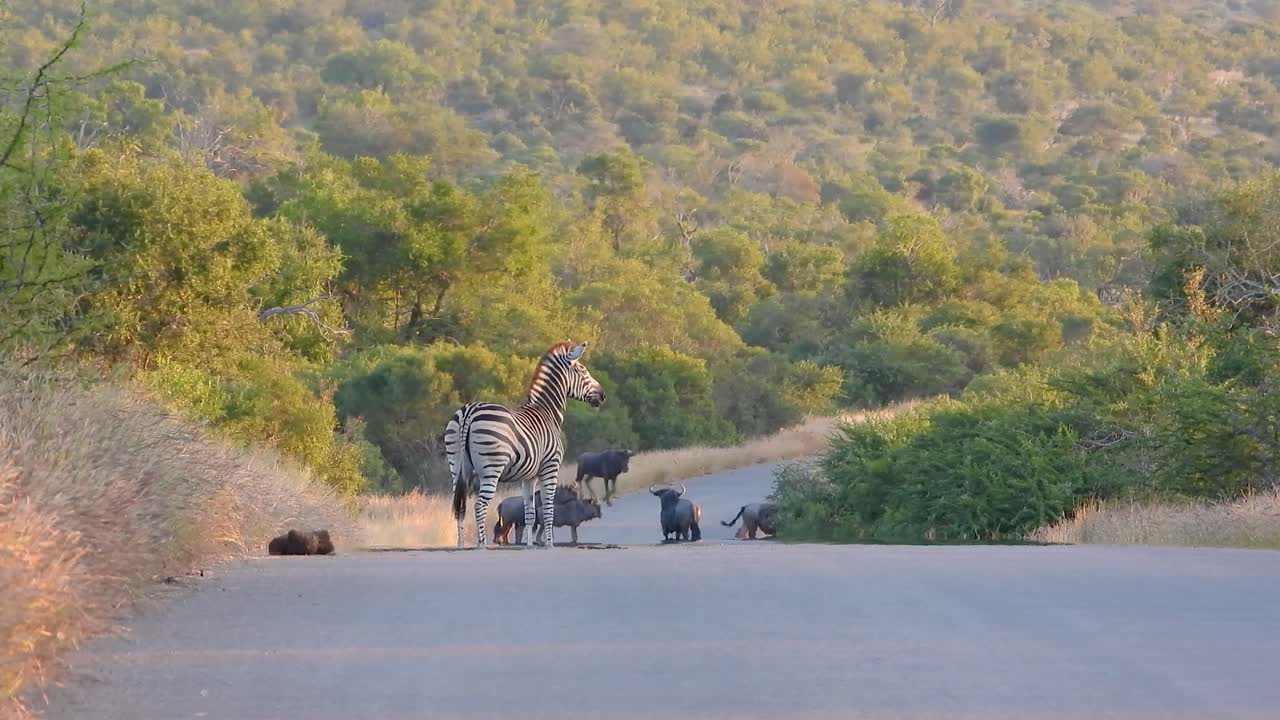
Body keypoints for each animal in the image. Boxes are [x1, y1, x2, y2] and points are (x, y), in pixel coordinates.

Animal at [445, 340, 606, 549]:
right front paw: (549, 544)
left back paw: (461, 544)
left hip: (456, 467)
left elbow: (529, 512)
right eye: (583, 370)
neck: (547, 411)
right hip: (491, 468)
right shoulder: (550, 468)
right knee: (479, 505)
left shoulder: (528, 476)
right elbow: (547, 509)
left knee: (460, 506)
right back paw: (482, 544)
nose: (603, 396)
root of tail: (469, 411)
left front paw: (529, 544)